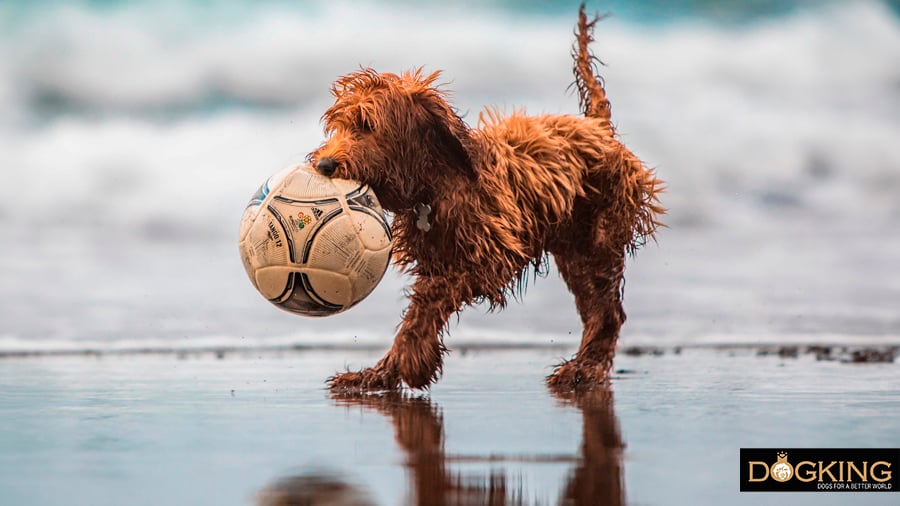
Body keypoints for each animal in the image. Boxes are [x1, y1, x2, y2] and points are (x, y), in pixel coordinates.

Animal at [310, 4, 660, 392]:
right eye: (338, 126)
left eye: (367, 125)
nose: (324, 164)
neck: (436, 185)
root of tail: (597, 127)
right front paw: (378, 373)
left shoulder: (493, 255)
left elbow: (432, 296)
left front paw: (411, 358)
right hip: (574, 247)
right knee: (597, 308)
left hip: (596, 238)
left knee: (607, 311)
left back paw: (586, 368)